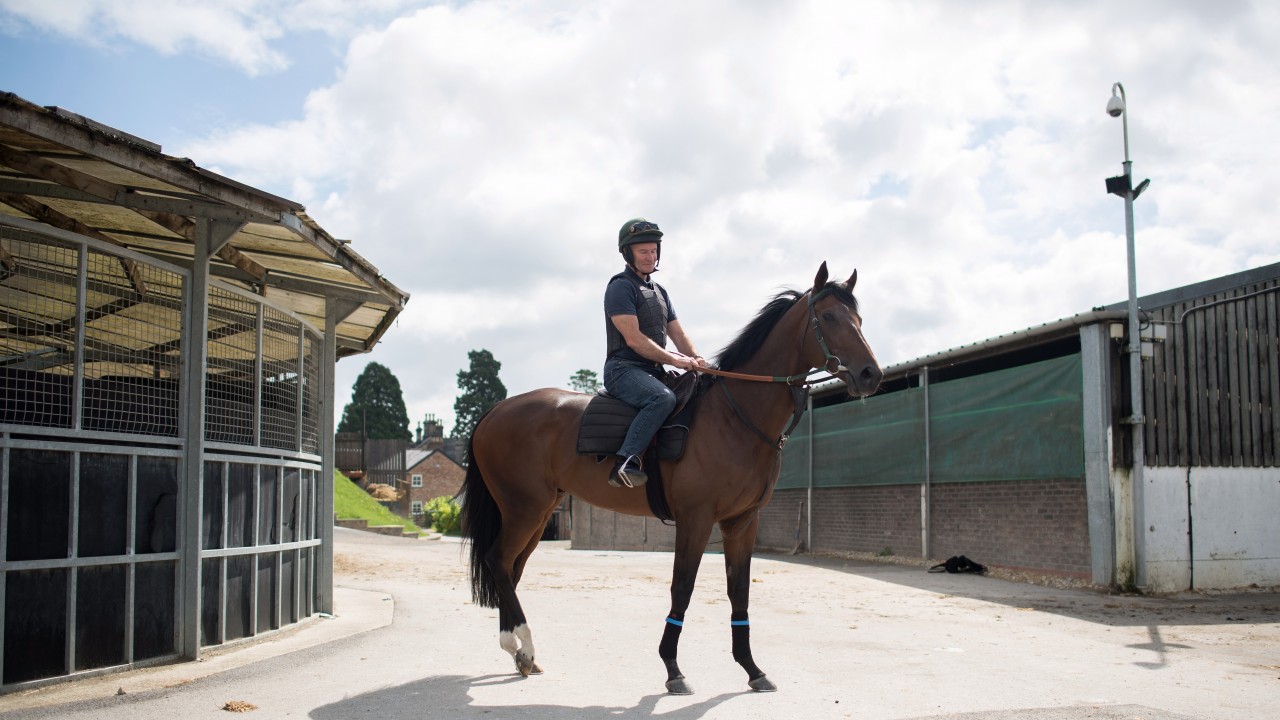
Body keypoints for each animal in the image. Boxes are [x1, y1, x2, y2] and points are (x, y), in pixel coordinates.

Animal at [461, 262, 882, 695]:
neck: (734, 417)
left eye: (858, 319)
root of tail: (495, 412)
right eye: (829, 317)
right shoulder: (695, 519)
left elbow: (739, 590)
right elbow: (682, 587)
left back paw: (521, 655)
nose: (871, 374)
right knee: (499, 560)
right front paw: (673, 668)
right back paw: (520, 644)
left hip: (538, 512)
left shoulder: (743, 522)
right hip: (523, 509)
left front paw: (752, 668)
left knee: (509, 568)